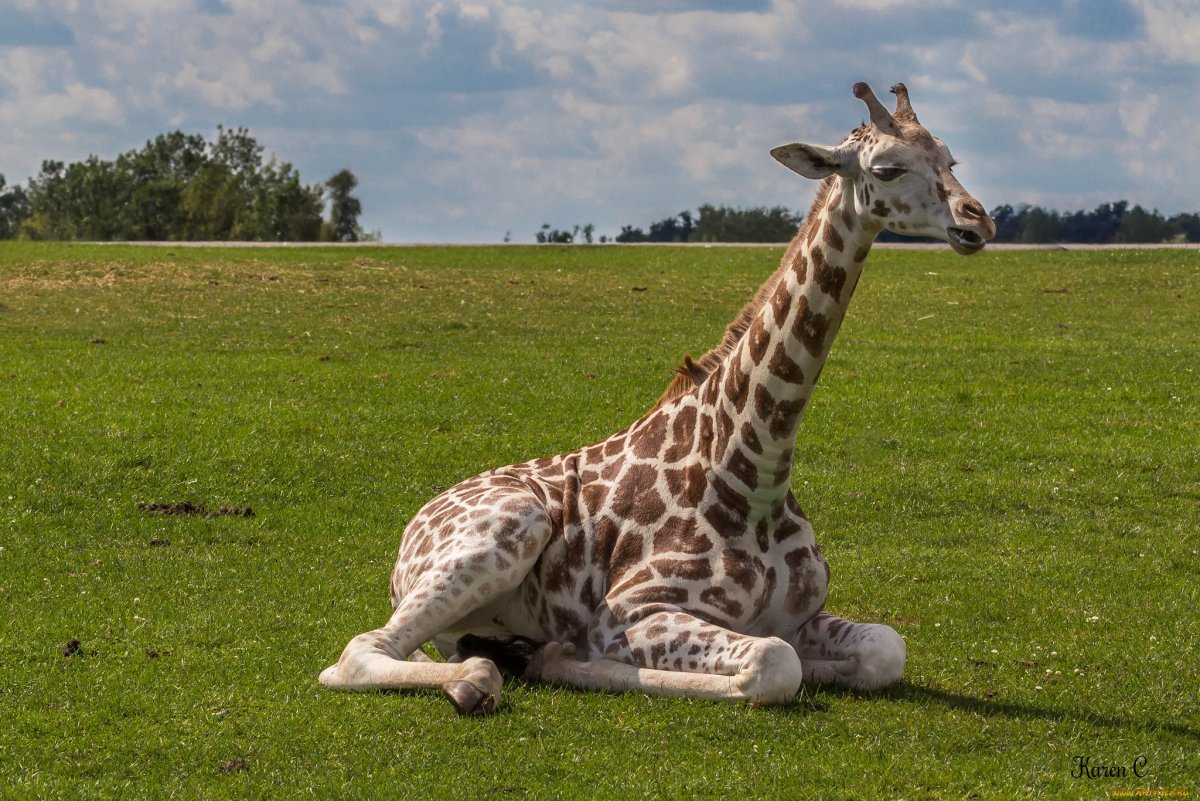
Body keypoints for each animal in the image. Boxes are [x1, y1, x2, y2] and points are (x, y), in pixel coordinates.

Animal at [319, 84, 993, 714]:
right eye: (888, 169)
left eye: (950, 158)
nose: (977, 220)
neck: (755, 475)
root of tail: (412, 530)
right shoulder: (632, 611)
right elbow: (775, 664)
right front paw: (566, 656)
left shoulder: (800, 614)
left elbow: (885, 649)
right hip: (508, 530)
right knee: (357, 654)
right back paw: (483, 676)